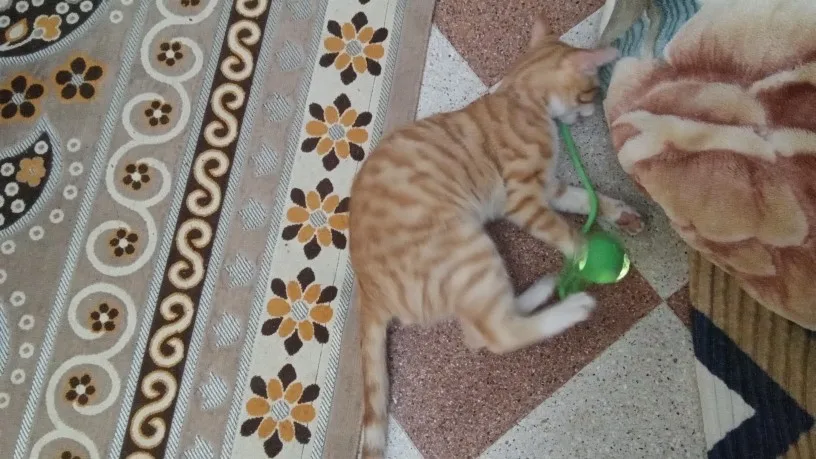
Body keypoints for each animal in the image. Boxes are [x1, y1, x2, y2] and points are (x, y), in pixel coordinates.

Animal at [348, 14, 644, 458]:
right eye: (591, 90)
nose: (593, 110)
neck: (520, 93)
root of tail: (367, 291)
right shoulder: (524, 199)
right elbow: (566, 232)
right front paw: (584, 255)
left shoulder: (551, 189)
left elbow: (584, 200)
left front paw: (620, 214)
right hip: (468, 250)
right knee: (494, 334)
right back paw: (572, 306)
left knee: (482, 327)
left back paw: (543, 289)